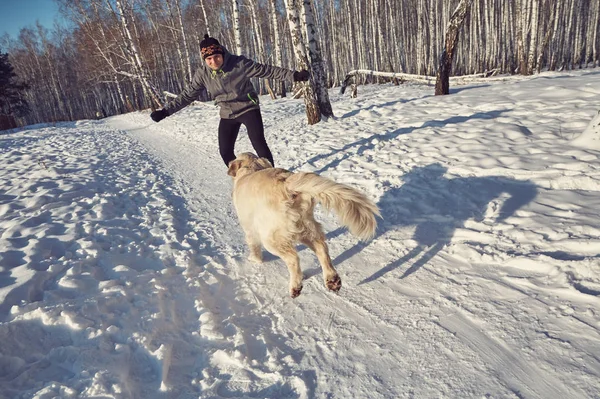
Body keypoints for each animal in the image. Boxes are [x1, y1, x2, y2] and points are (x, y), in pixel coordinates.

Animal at [227, 153, 378, 296]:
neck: (251, 168)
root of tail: (287, 185)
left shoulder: (249, 228)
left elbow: (253, 245)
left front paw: (254, 259)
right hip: (307, 227)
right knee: (322, 249)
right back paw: (332, 280)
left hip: (271, 237)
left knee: (293, 258)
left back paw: (295, 287)